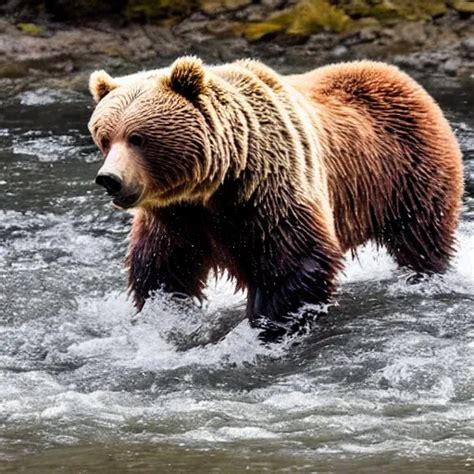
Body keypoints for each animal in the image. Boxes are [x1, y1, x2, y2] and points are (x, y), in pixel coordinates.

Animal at [88, 58, 462, 340]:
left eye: (138, 138)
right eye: (105, 137)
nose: (110, 180)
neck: (215, 183)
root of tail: (400, 75)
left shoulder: (269, 191)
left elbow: (293, 260)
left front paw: (268, 323)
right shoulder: (176, 216)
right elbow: (162, 266)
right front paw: (165, 314)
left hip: (408, 172)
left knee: (421, 236)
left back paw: (425, 273)